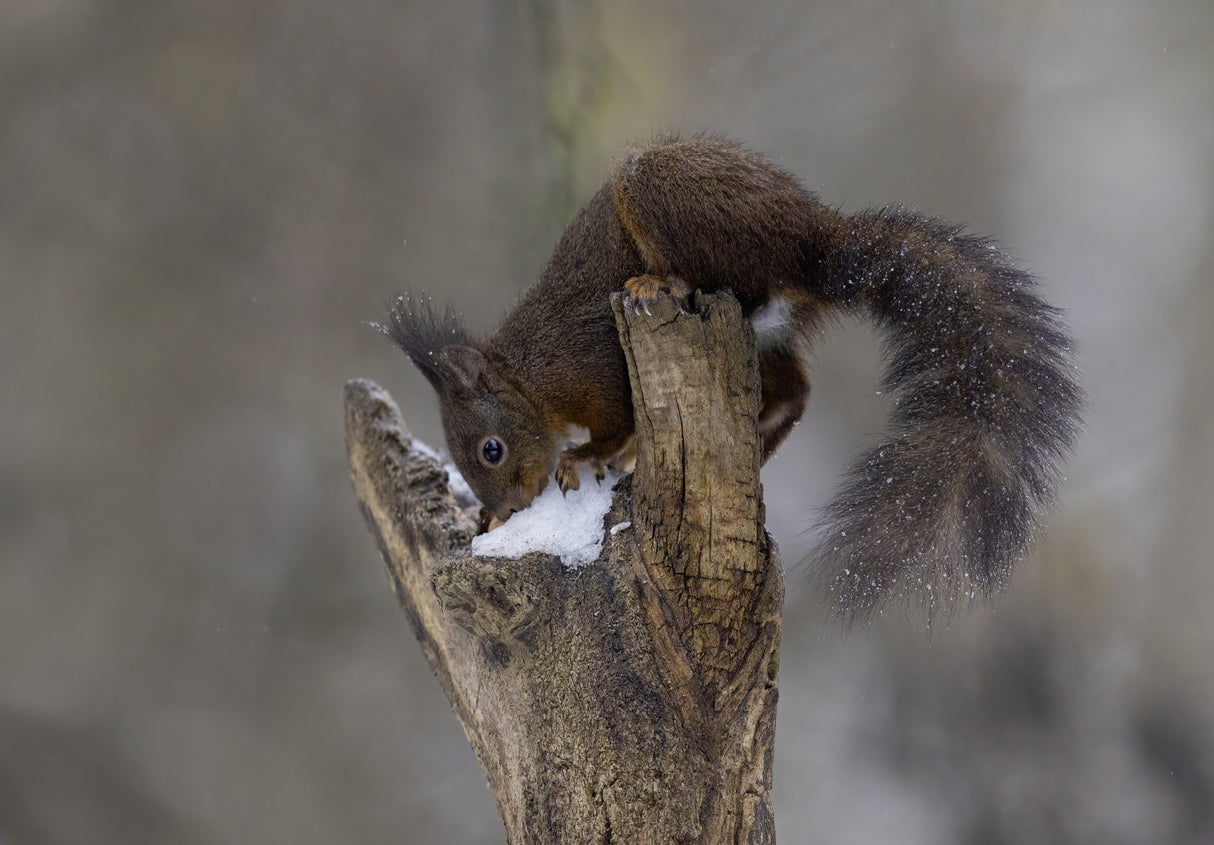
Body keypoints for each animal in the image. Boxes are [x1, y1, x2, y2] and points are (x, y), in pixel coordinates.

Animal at [384, 135, 1082, 619]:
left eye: (490, 449)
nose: (506, 511)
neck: (531, 380)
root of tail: (811, 241)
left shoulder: (594, 370)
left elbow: (615, 425)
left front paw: (584, 457)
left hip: (666, 197)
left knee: (737, 291)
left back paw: (662, 283)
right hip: (765, 335)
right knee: (795, 389)